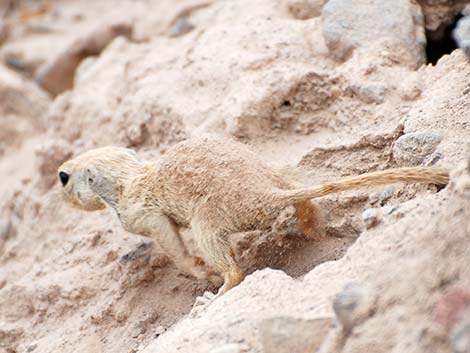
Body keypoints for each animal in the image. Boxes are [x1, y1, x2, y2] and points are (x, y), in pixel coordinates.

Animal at [57, 136, 450, 302]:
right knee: (302, 194)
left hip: (207, 221)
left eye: (63, 176)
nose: (57, 183)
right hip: (278, 172)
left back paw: (214, 296)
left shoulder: (141, 214)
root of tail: (263, 193)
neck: (129, 177)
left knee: (232, 268)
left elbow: (170, 241)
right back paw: (310, 226)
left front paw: (199, 270)